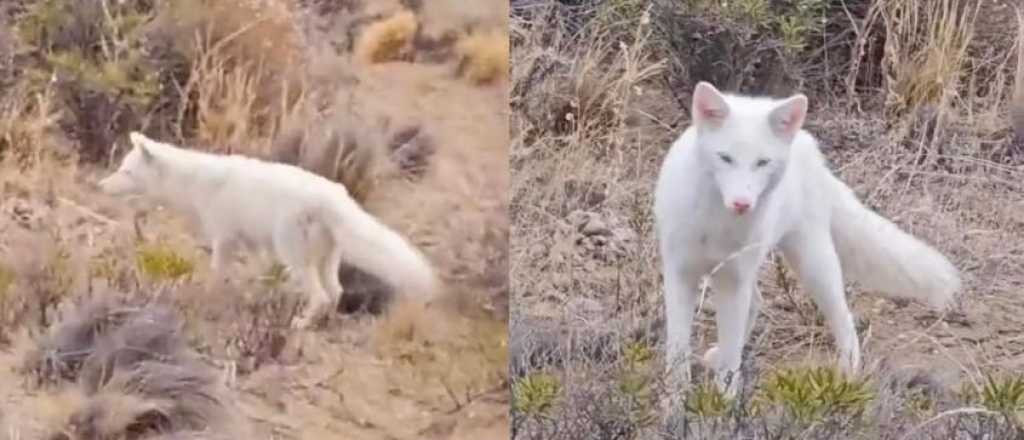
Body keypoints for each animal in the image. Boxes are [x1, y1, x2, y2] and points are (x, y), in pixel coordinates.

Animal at [96, 132, 444, 327]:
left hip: (295, 257)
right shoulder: (252, 245)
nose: (100, 185)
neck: (194, 183)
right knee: (335, 293)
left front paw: (209, 298)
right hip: (325, 260)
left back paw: (301, 324)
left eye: (126, 172)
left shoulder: (224, 239)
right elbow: (254, 275)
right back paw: (322, 324)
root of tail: (335, 197)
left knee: (321, 296)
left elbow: (217, 275)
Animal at [655, 81, 958, 394]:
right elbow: (677, 357)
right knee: (757, 303)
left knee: (843, 319)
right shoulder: (680, 274)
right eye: (725, 157)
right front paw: (674, 404)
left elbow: (730, 365)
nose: (741, 203)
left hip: (813, 264)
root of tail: (808, 145)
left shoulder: (732, 281)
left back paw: (847, 377)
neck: (716, 225)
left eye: (762, 162)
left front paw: (721, 404)